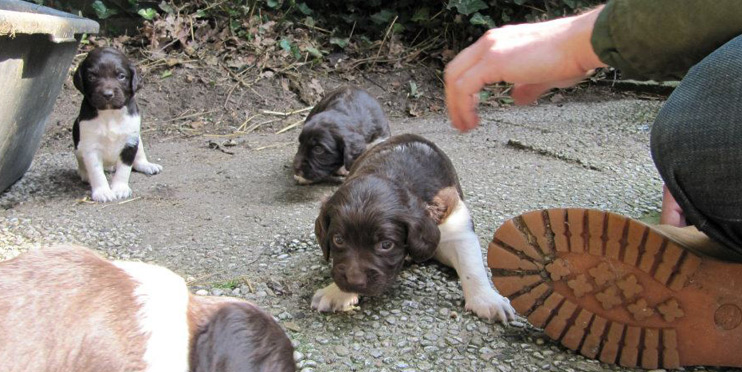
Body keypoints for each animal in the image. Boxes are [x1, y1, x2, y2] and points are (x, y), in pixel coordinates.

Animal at [73, 48, 162, 203]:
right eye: (91, 76)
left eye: (121, 76)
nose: (107, 94)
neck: (110, 113)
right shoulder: (91, 147)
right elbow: (96, 172)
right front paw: (103, 192)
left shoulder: (130, 143)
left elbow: (124, 169)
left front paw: (120, 188)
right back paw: (85, 174)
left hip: (138, 139)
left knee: (138, 156)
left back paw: (147, 165)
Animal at [310, 134, 516, 322]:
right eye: (338, 240)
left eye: (386, 245)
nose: (355, 281)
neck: (391, 173)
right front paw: (337, 292)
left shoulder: (456, 219)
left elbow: (470, 263)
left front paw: (486, 299)